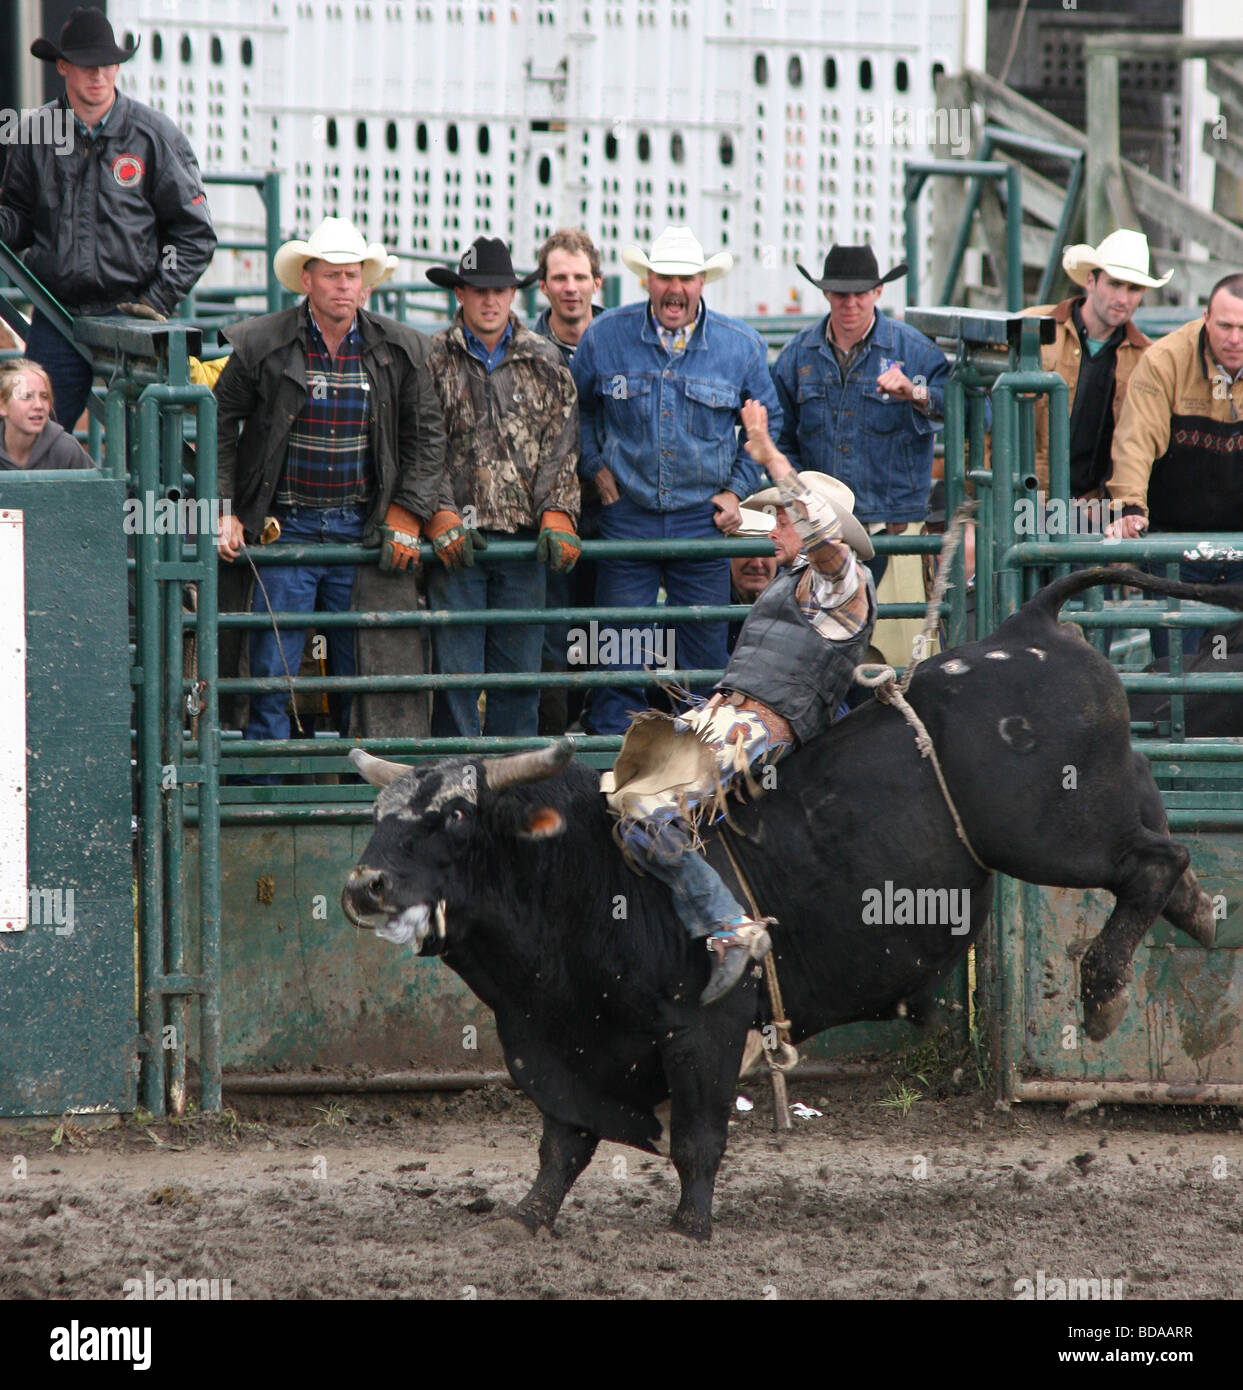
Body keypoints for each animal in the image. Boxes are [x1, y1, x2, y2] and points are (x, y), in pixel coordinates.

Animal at [340, 569, 1243, 1245]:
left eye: (456, 817)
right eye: (379, 819)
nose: (364, 887)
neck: (585, 877)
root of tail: (1030, 623)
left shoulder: (703, 1028)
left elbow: (695, 1137)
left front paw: (689, 1227)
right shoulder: (552, 1043)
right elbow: (562, 1140)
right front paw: (525, 1218)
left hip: (1050, 836)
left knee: (1153, 863)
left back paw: (1100, 990)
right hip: (1102, 809)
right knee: (1165, 863)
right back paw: (1190, 924)